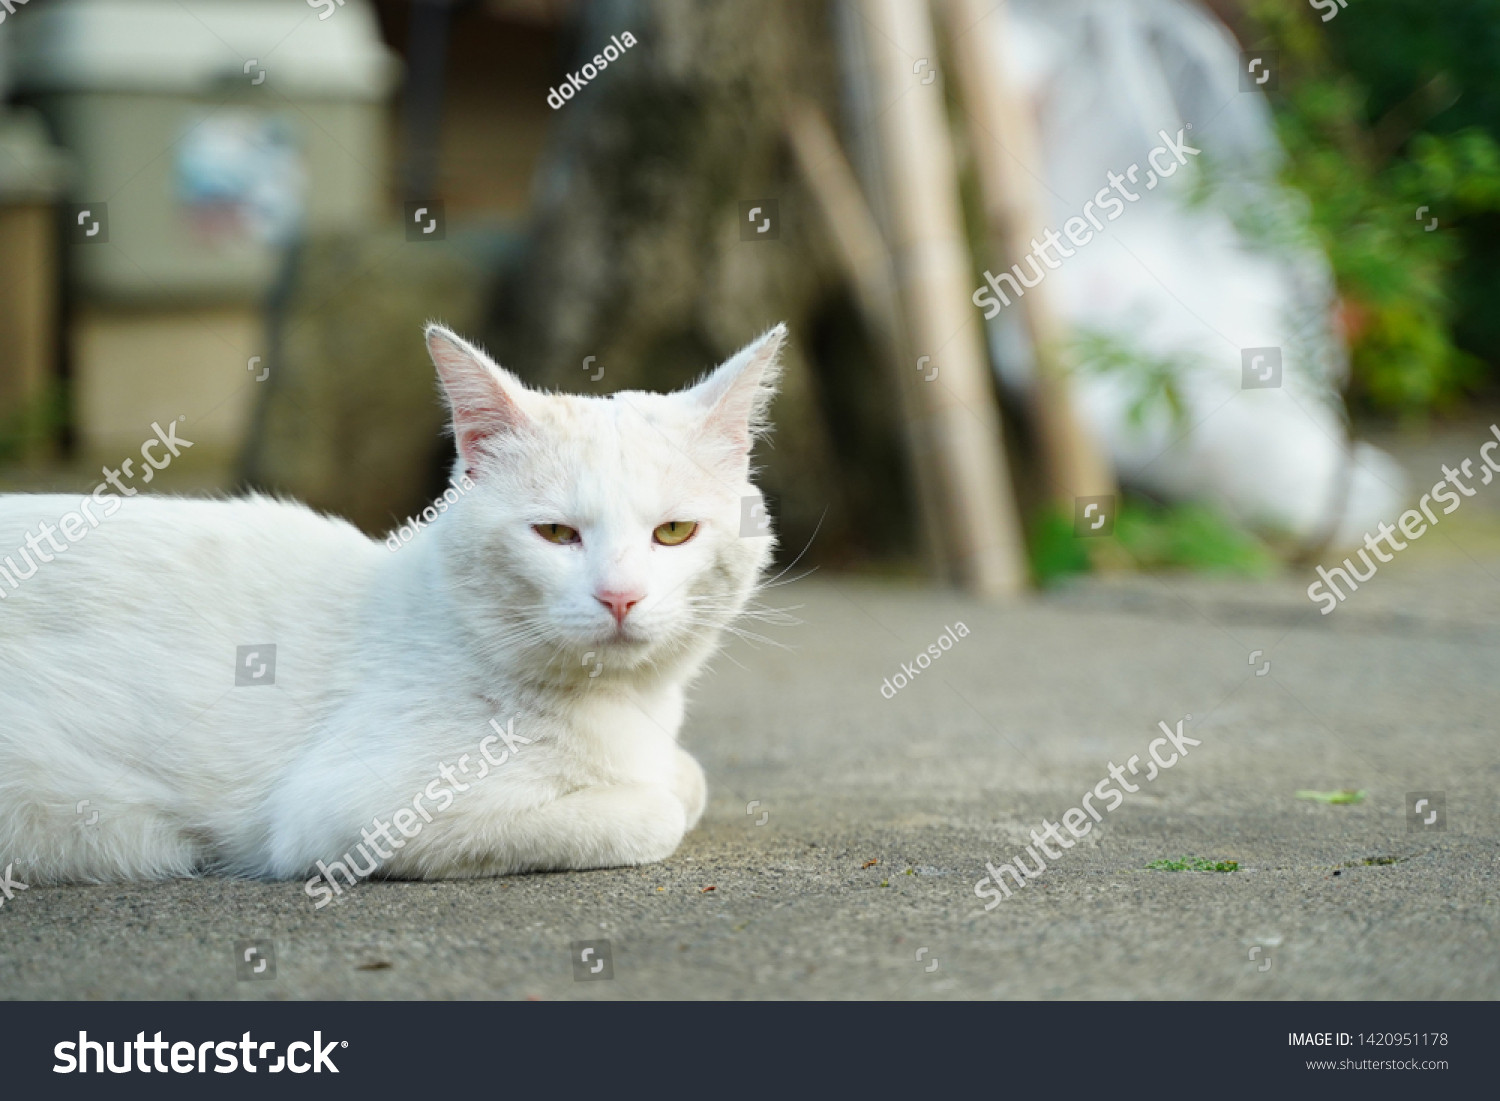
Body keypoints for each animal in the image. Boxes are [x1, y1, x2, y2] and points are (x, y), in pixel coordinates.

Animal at [0, 324, 792, 900]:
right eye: (556, 533)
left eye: (674, 531)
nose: (619, 595)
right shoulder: (350, 815)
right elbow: (657, 811)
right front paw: (650, 793)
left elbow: (688, 777)